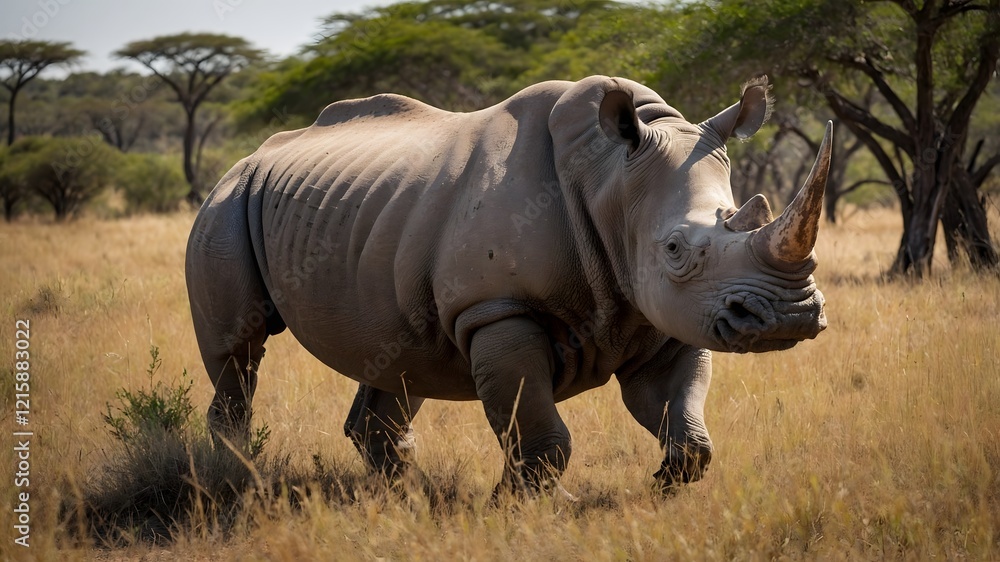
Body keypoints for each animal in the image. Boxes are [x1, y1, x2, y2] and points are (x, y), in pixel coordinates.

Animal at [186, 75, 831, 492]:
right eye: (674, 250)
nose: (791, 317)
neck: (610, 180)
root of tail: (251, 155)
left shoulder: (662, 310)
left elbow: (683, 425)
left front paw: (665, 484)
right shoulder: (495, 309)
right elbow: (542, 439)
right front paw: (520, 508)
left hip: (376, 219)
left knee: (399, 355)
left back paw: (406, 497)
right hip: (228, 201)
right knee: (238, 349)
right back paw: (237, 479)